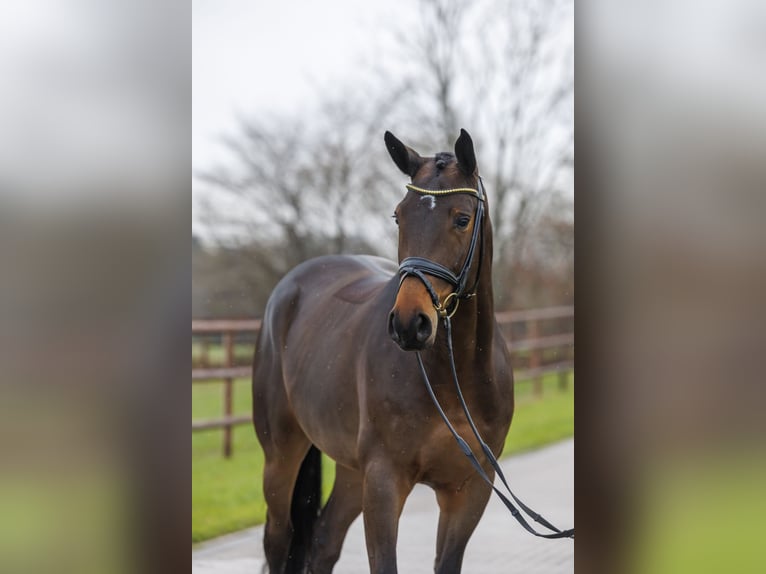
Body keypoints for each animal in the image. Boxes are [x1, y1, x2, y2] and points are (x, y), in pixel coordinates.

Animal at [254, 130, 516, 574]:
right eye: (399, 216)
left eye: (462, 218)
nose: (410, 323)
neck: (454, 378)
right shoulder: (384, 482)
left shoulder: (468, 490)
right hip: (282, 457)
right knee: (278, 539)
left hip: (350, 470)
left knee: (324, 540)